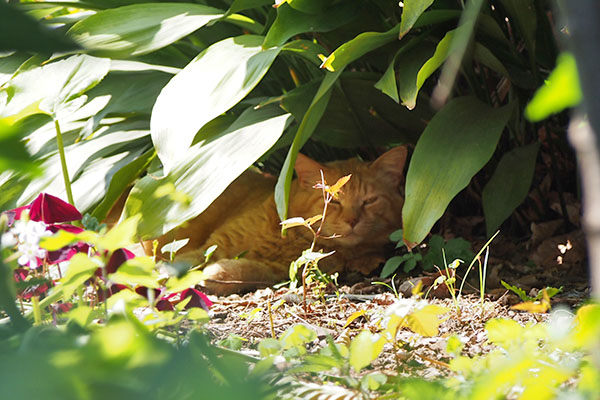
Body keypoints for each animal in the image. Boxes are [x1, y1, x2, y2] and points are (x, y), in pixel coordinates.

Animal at [146, 147, 408, 294]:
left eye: (369, 201)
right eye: (332, 201)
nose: (352, 220)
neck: (290, 235)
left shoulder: (283, 269)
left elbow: (246, 270)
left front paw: (214, 275)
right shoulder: (214, 244)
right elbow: (186, 259)